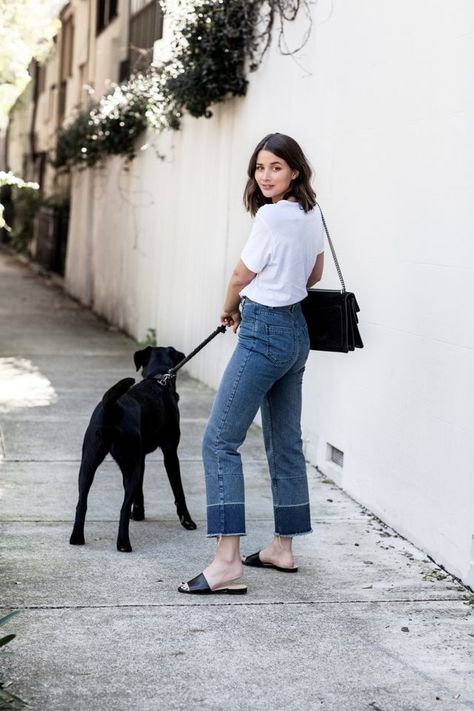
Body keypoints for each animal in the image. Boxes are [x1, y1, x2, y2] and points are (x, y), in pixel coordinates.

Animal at [69, 348, 195, 552]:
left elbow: (140, 490)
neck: (158, 379)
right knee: (122, 507)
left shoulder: (140, 457)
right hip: (129, 466)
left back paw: (77, 538)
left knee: (82, 502)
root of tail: (111, 407)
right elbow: (178, 490)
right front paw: (187, 521)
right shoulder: (170, 453)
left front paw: (139, 513)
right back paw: (123, 543)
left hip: (88, 464)